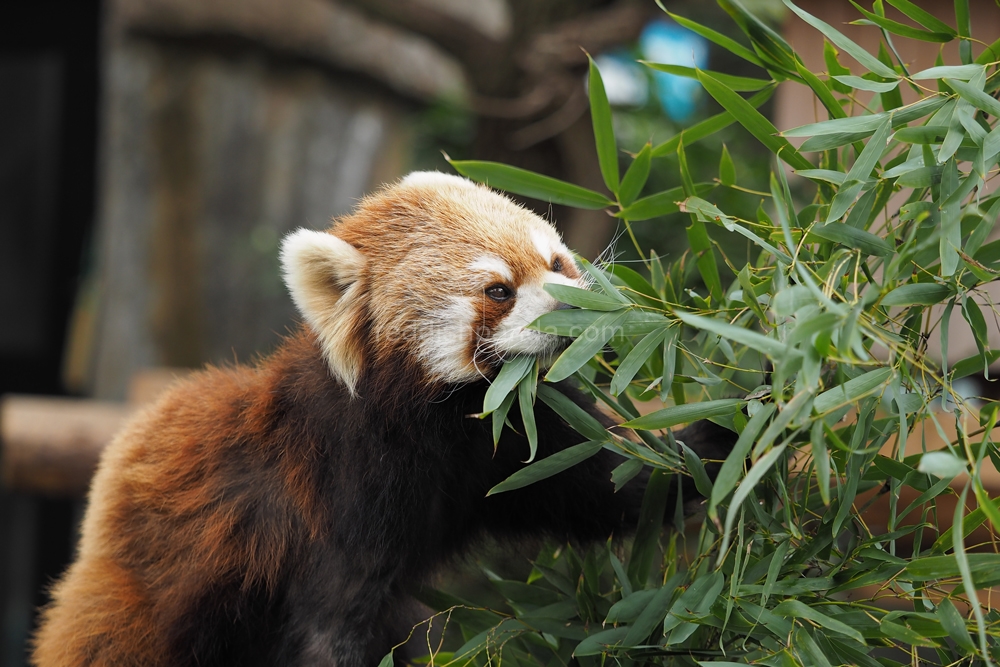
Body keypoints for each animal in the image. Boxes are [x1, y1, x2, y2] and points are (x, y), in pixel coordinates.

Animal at [33, 174, 736, 667]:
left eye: (556, 263)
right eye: (498, 290)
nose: (573, 305)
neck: (450, 423)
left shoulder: (508, 450)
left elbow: (618, 489)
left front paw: (733, 411)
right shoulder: (338, 492)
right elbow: (330, 624)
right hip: (139, 602)